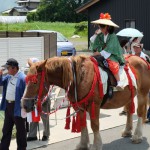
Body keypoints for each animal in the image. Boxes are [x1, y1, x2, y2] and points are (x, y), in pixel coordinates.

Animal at [22, 55, 150, 150]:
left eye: (35, 82)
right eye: (26, 80)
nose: (24, 105)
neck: (78, 78)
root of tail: (142, 59)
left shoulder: (94, 105)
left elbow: (94, 125)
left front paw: (97, 145)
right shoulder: (79, 106)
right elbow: (83, 124)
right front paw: (83, 144)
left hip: (142, 93)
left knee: (140, 112)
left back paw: (137, 136)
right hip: (129, 95)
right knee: (129, 110)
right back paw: (128, 131)